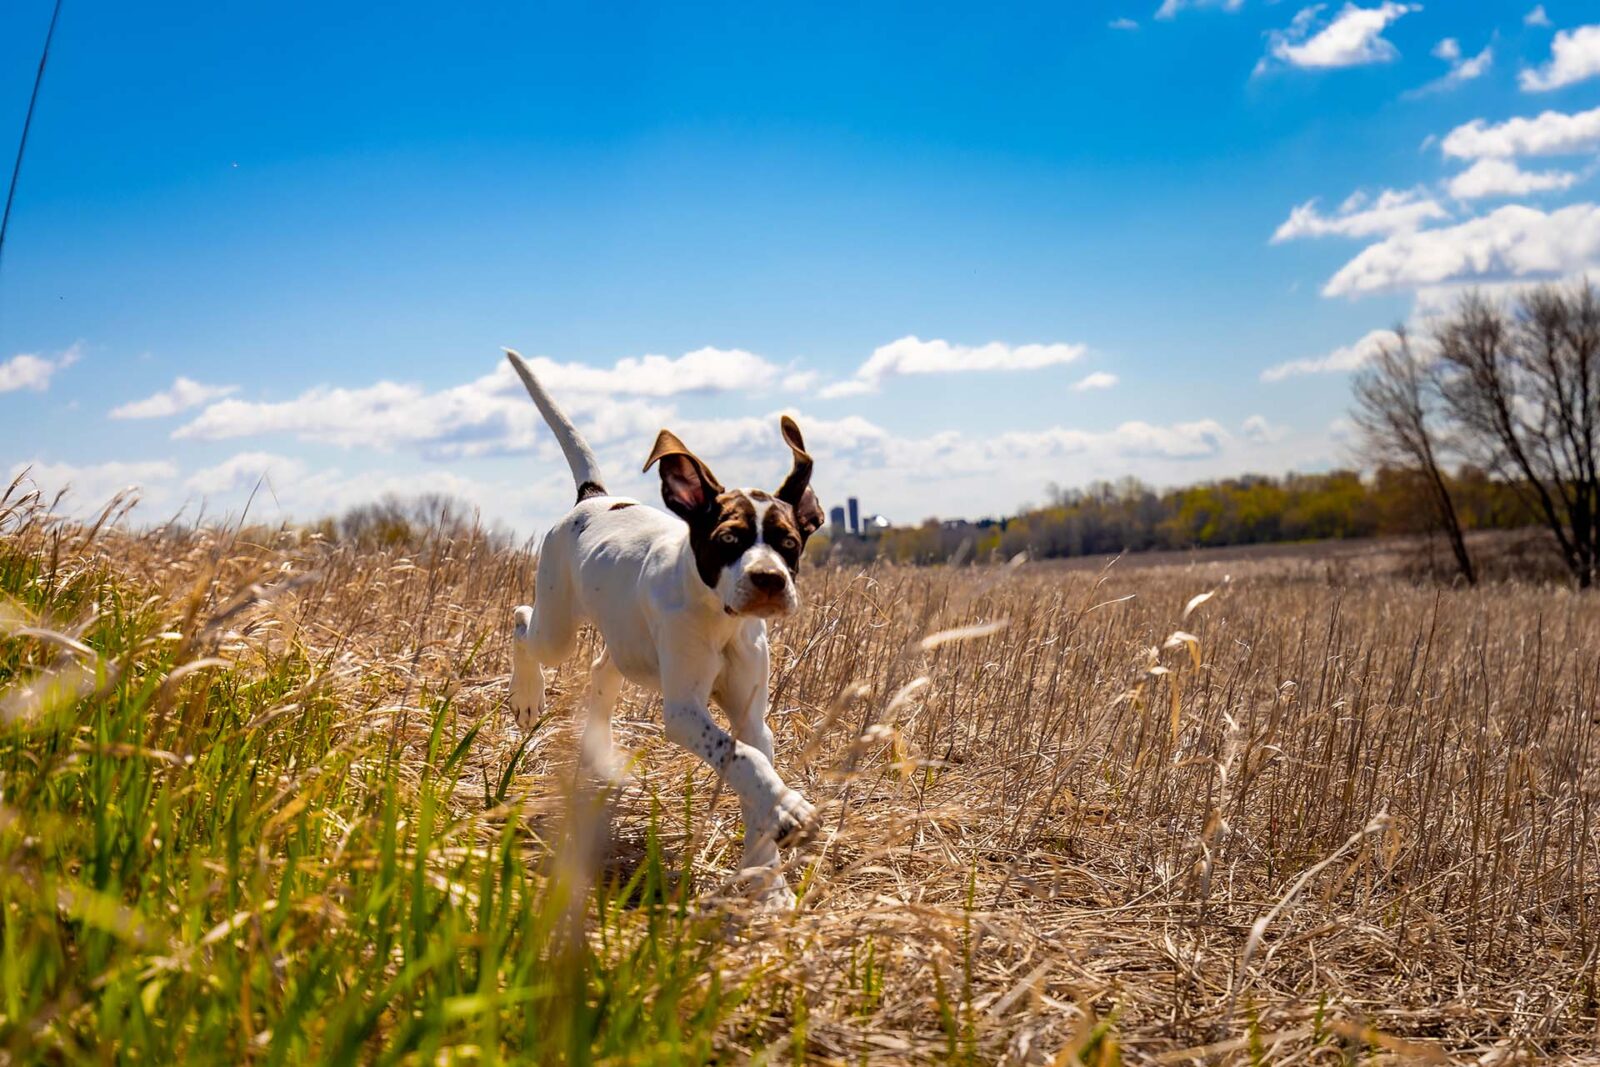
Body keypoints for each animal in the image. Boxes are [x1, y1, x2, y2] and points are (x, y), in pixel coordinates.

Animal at [502, 350, 825, 908]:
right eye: (727, 540)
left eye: (789, 543)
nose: (769, 580)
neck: (721, 618)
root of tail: (592, 499)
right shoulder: (683, 710)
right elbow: (741, 759)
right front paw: (788, 810)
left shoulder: (753, 718)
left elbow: (751, 766)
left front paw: (767, 879)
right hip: (556, 625)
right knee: (524, 621)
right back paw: (527, 697)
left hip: (627, 642)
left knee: (601, 668)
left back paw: (602, 755)